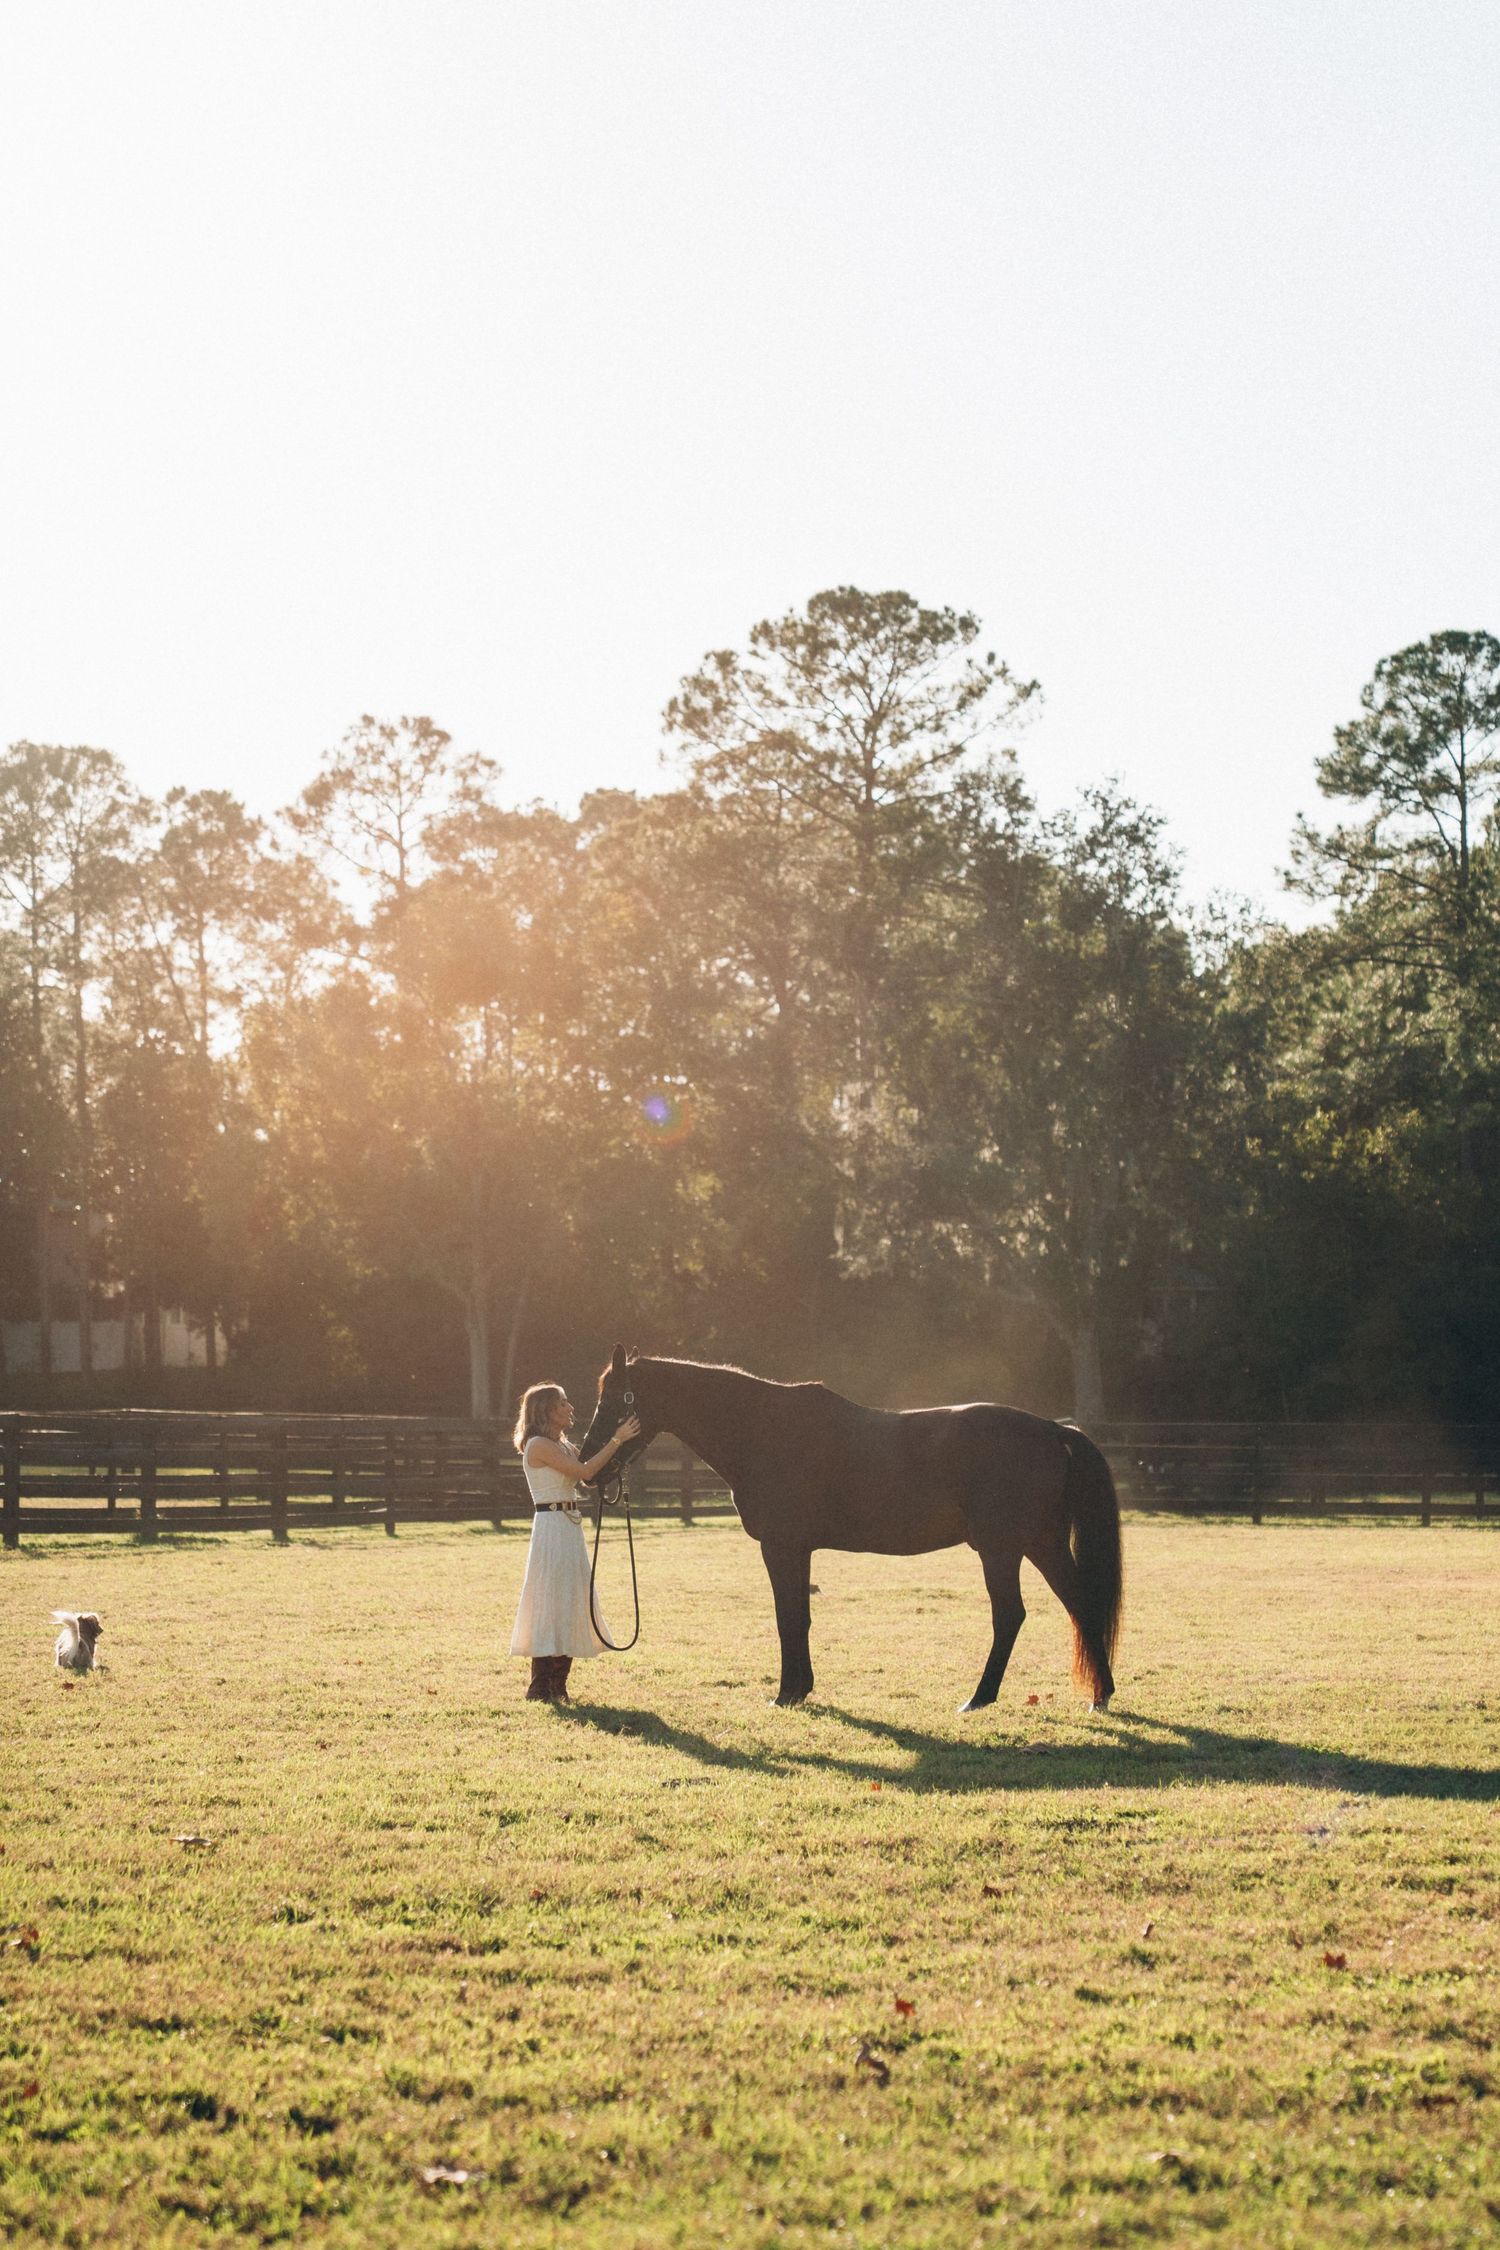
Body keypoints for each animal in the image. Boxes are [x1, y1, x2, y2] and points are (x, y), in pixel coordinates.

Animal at [579, 1346, 1123, 1712]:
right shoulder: (799, 1549)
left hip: (1002, 1549)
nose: (588, 1465)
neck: (763, 1431)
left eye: (616, 1399)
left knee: (1011, 1615)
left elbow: (787, 1618)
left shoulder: (780, 1546)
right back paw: (1099, 1695)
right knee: (1080, 1604)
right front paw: (800, 1689)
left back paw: (979, 1698)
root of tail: (1054, 1429)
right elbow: (800, 1618)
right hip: (1042, 1544)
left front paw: (785, 1694)